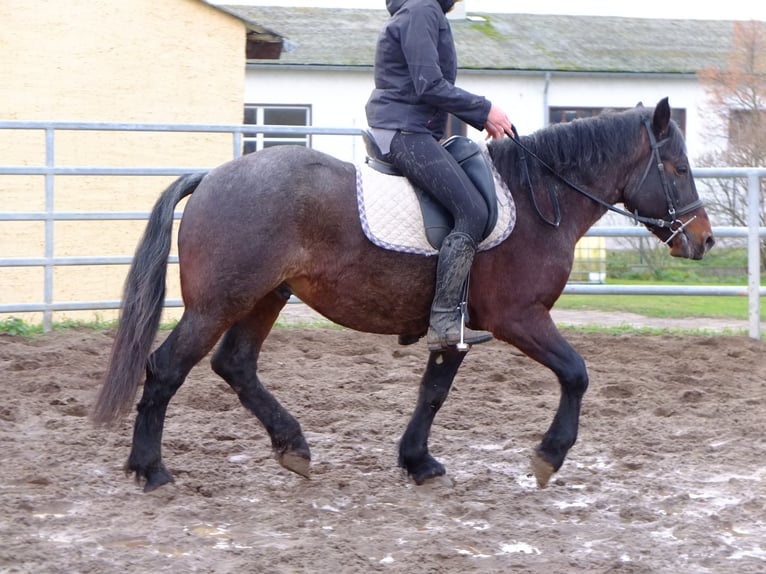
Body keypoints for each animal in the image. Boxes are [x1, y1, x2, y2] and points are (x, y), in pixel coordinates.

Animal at [94, 100, 712, 496]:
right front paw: (548, 457)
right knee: (166, 368)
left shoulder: (458, 325)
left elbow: (432, 393)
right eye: (679, 167)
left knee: (236, 365)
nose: (703, 240)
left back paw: (292, 446)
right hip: (217, 304)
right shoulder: (519, 318)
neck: (539, 200)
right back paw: (151, 470)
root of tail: (211, 177)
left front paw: (418, 462)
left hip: (264, 297)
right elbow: (577, 373)